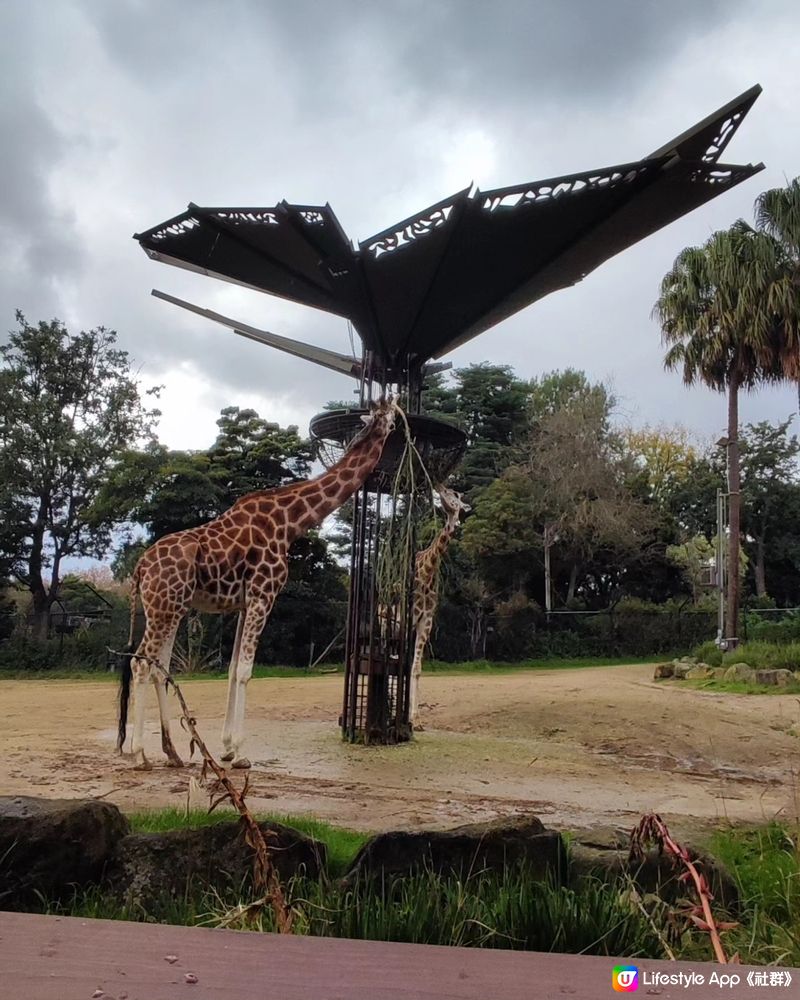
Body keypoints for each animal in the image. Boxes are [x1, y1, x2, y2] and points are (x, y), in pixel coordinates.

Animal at [116, 396, 396, 764]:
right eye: (395, 417)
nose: (400, 432)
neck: (291, 522)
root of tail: (140, 567)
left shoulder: (244, 603)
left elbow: (234, 668)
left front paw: (226, 748)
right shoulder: (264, 594)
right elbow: (247, 670)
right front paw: (239, 752)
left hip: (170, 608)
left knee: (158, 665)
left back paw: (172, 752)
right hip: (165, 607)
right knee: (140, 664)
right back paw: (139, 754)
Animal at [410, 482, 472, 724]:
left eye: (454, 494)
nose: (438, 485)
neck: (427, 572)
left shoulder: (425, 621)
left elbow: (416, 668)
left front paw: (414, 718)